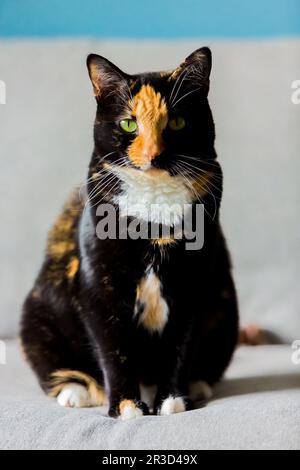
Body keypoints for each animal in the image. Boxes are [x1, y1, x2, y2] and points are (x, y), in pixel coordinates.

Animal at [19, 47, 239, 418]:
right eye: (128, 123)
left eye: (177, 122)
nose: (153, 154)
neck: (154, 216)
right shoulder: (98, 285)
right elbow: (113, 348)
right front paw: (125, 406)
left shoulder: (194, 283)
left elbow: (181, 345)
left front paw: (173, 400)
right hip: (37, 317)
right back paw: (77, 392)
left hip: (226, 313)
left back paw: (196, 385)